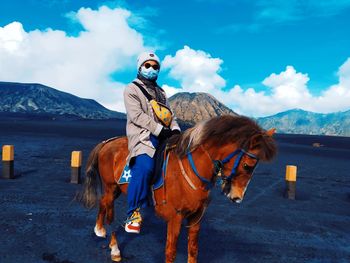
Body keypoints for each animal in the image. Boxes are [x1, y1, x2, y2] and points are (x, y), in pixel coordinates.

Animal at [78, 115, 278, 263]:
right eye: (247, 165)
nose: (237, 197)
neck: (191, 170)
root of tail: (107, 142)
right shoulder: (175, 217)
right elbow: (171, 252)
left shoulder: (197, 216)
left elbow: (193, 249)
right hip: (111, 187)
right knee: (108, 207)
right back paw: (113, 246)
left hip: (117, 189)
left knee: (104, 203)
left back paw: (104, 233)